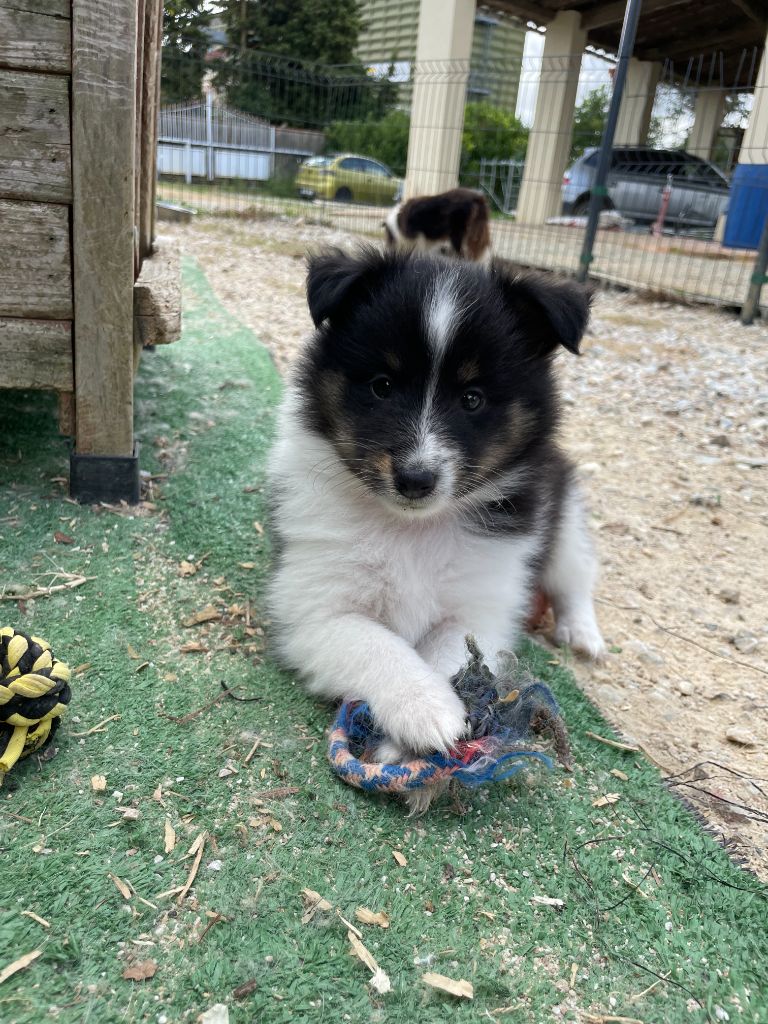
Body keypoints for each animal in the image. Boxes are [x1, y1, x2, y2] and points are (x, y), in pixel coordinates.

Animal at [268, 248, 606, 761]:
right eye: (383, 386)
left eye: (473, 398)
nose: (415, 480)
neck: (412, 527)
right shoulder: (316, 606)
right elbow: (377, 643)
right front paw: (427, 711)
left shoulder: (477, 605)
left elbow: (455, 658)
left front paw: (413, 738)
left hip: (562, 514)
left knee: (577, 573)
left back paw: (582, 633)